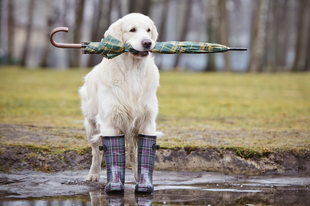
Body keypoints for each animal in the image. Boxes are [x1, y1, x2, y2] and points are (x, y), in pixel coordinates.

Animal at [78, 12, 160, 181]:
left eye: (148, 30)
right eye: (132, 29)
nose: (147, 43)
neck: (133, 71)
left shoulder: (147, 121)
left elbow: (140, 154)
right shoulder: (110, 122)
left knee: (133, 153)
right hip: (91, 125)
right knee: (96, 152)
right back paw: (93, 174)